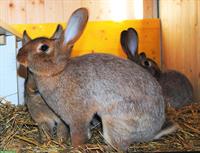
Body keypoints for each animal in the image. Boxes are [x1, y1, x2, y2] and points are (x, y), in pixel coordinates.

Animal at [16, 7, 177, 152]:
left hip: (113, 121)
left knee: (119, 146)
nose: (19, 56)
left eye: (44, 47)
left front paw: (75, 148)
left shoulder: (78, 117)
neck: (58, 72)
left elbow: (78, 135)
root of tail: (151, 133)